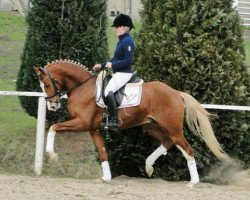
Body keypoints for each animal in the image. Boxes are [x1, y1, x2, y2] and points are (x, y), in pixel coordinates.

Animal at [34, 59, 229, 188]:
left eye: (47, 84)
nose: (52, 106)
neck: (81, 87)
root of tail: (176, 92)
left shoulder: (81, 123)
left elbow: (53, 127)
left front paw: (52, 154)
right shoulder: (93, 129)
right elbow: (102, 152)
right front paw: (106, 177)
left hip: (171, 128)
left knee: (187, 148)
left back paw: (193, 182)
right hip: (151, 125)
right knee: (167, 142)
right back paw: (148, 166)